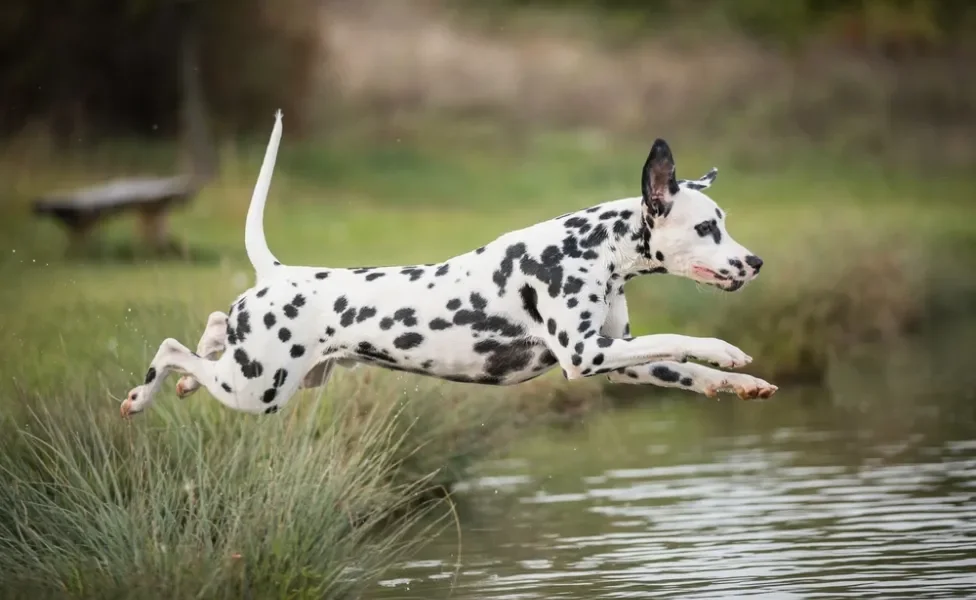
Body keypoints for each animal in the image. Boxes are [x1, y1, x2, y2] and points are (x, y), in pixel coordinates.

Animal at [122, 110, 776, 418]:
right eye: (708, 227)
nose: (756, 261)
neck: (592, 248)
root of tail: (278, 272)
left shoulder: (616, 359)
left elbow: (682, 366)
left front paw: (738, 382)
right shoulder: (585, 355)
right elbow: (684, 338)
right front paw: (728, 351)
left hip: (272, 376)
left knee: (210, 331)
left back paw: (187, 375)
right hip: (256, 390)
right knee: (170, 348)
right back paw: (144, 394)